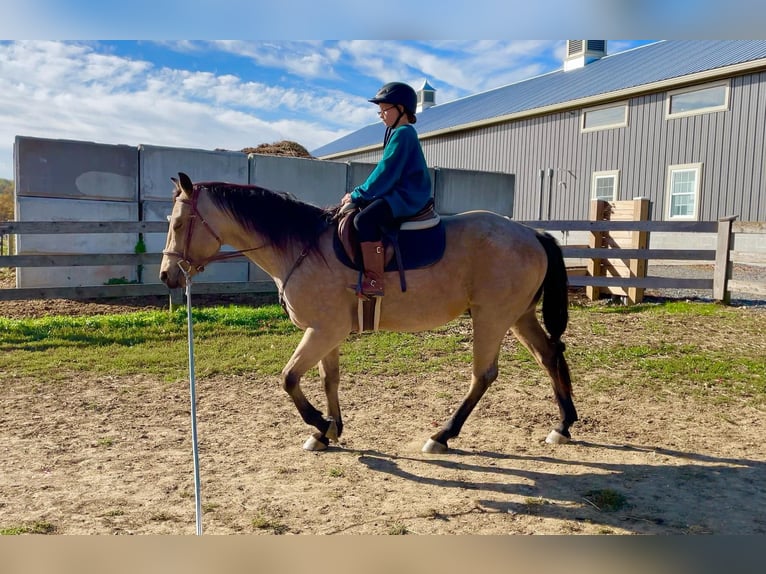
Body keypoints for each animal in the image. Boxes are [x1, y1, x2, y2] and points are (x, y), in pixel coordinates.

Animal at [164, 172, 584, 454]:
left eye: (179, 223)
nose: (167, 275)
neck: (303, 246)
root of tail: (531, 233)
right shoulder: (326, 333)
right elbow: (328, 379)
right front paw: (328, 430)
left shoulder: (323, 331)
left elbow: (288, 378)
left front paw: (320, 423)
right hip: (517, 317)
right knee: (549, 355)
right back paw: (562, 425)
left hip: (492, 318)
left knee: (483, 375)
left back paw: (442, 435)